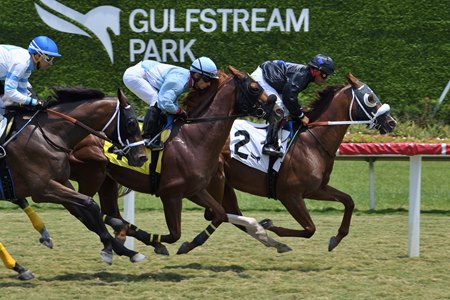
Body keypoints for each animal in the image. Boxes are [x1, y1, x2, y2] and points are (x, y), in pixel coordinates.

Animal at [2, 87, 149, 264]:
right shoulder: (42, 189)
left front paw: (127, 250)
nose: (142, 157)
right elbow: (91, 204)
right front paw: (108, 247)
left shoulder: (62, 182)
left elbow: (85, 214)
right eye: (131, 123)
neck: (48, 136)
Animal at [70, 67, 274, 254]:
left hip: (107, 180)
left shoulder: (195, 190)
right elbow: (175, 234)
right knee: (85, 208)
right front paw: (159, 243)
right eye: (254, 87)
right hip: (92, 174)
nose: (276, 106)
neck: (194, 139)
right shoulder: (171, 194)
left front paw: (189, 244)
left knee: (107, 211)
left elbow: (220, 214)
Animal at [176, 72, 398, 253]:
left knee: (224, 214)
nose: (391, 122)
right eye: (370, 98)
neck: (312, 141)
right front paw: (269, 225)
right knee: (215, 214)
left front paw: (336, 238)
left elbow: (348, 201)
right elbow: (309, 229)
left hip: (224, 184)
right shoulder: (290, 195)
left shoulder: (316, 189)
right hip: (215, 182)